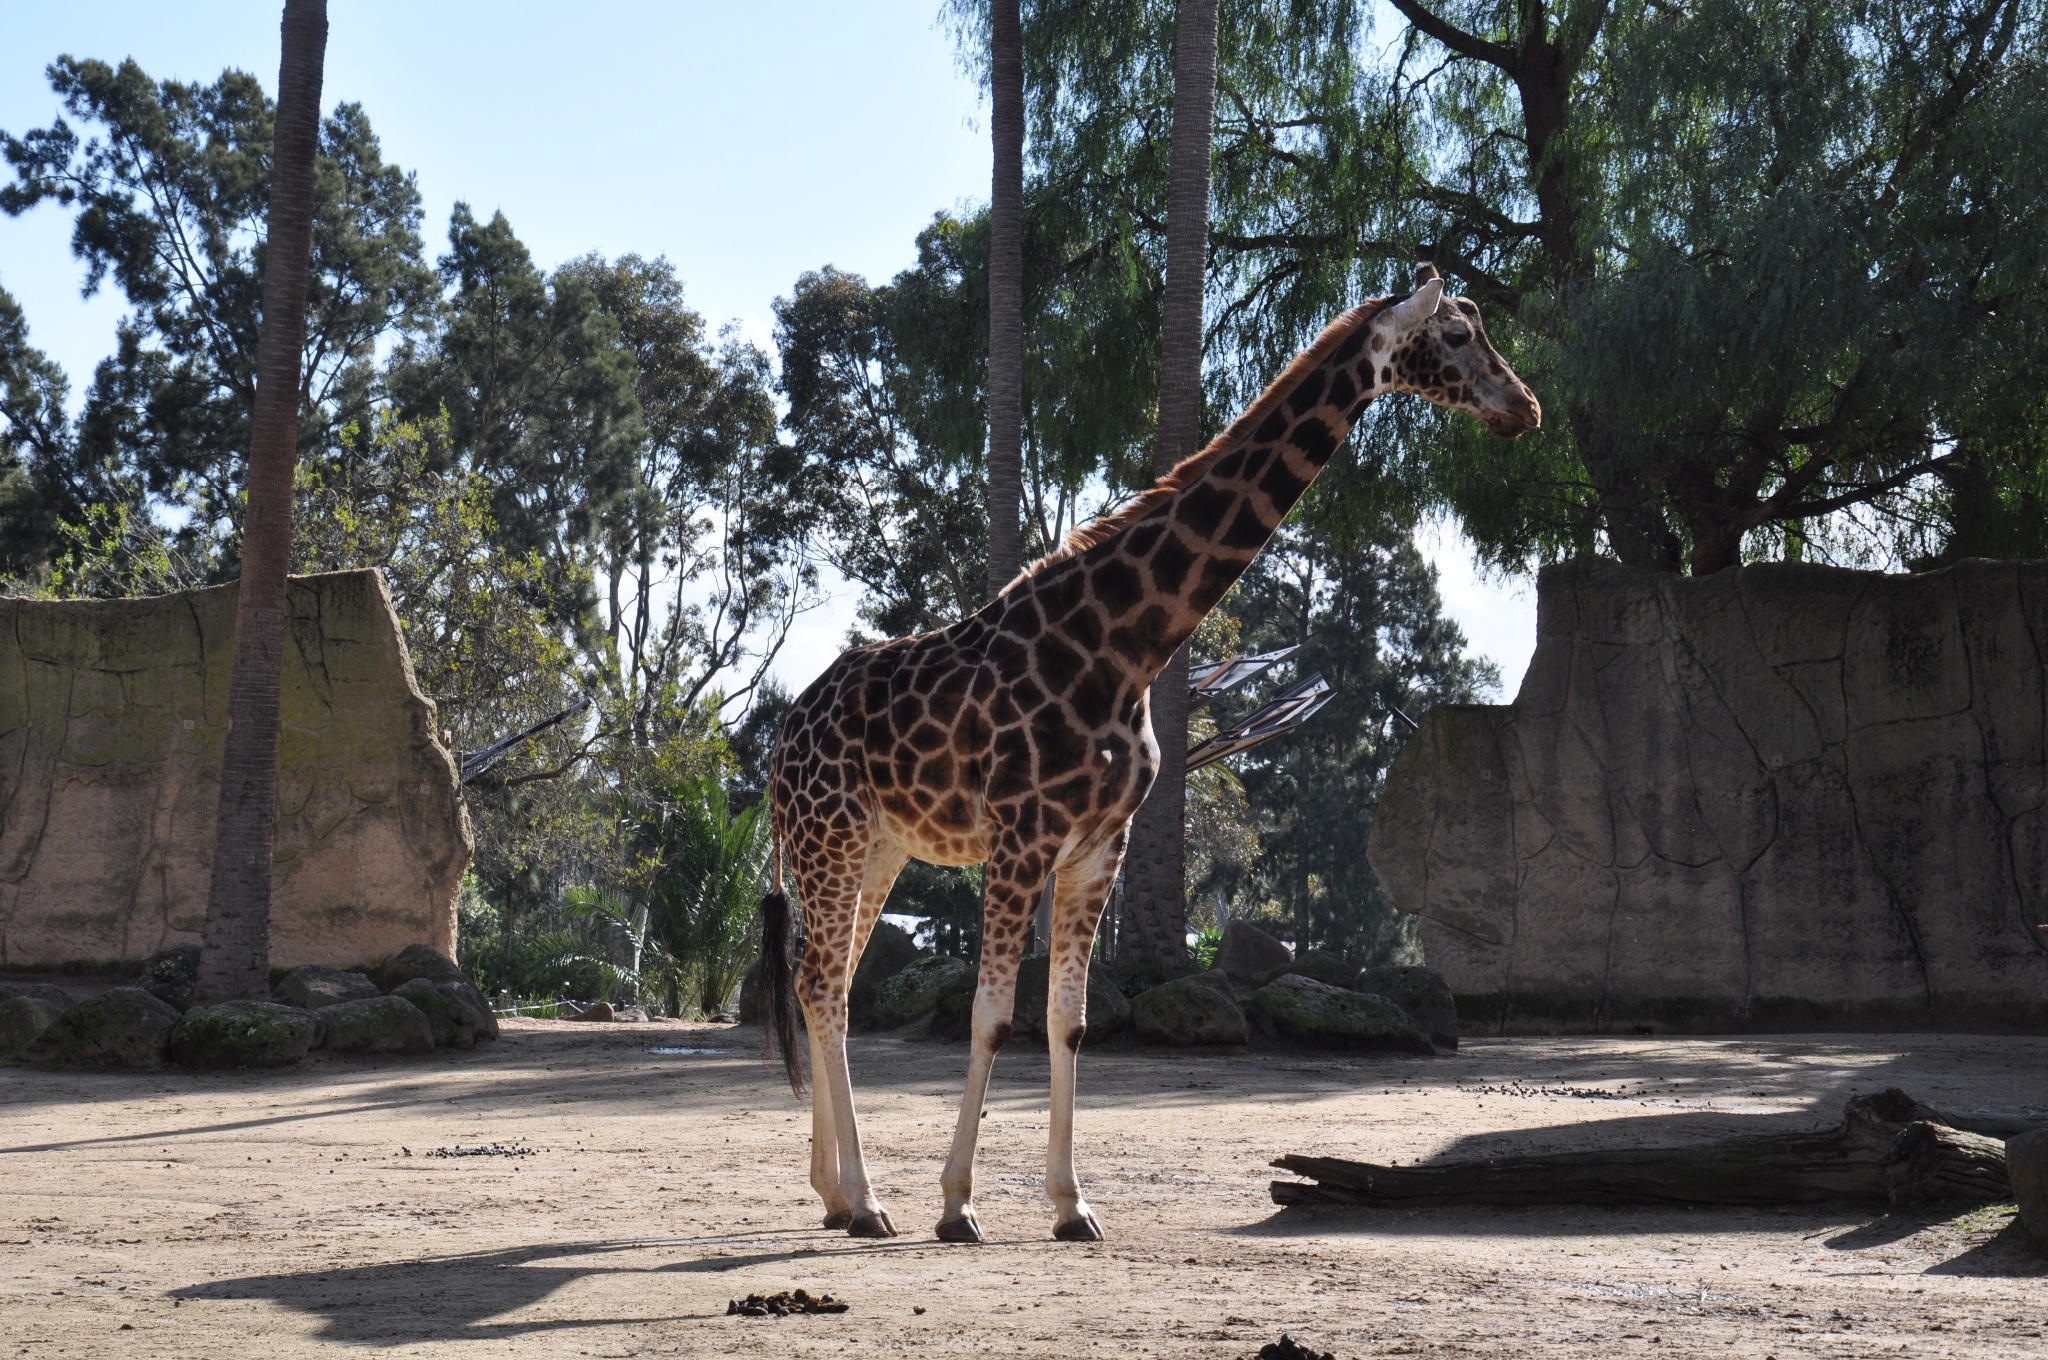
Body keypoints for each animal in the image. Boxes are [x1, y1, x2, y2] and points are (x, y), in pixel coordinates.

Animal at [757, 262, 1540, 1245]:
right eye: (1461, 336)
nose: (1526, 408)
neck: (1126, 647)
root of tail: (783, 736)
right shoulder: (1020, 838)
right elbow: (991, 1017)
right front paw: (959, 1206)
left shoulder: (1101, 844)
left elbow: (1070, 1021)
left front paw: (1071, 1205)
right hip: (829, 839)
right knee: (825, 987)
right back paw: (866, 1201)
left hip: (878, 848)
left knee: (824, 981)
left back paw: (833, 1193)